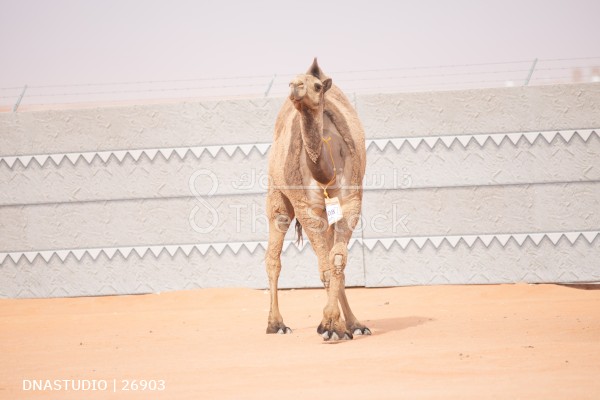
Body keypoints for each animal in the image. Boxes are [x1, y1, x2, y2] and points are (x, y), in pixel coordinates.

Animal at [264, 59, 368, 340]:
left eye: (318, 86)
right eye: (291, 81)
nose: (295, 87)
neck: (325, 174)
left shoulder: (351, 202)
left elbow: (337, 260)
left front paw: (342, 325)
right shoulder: (306, 208)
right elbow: (325, 266)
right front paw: (331, 325)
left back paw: (354, 324)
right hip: (277, 194)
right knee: (273, 256)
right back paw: (276, 324)